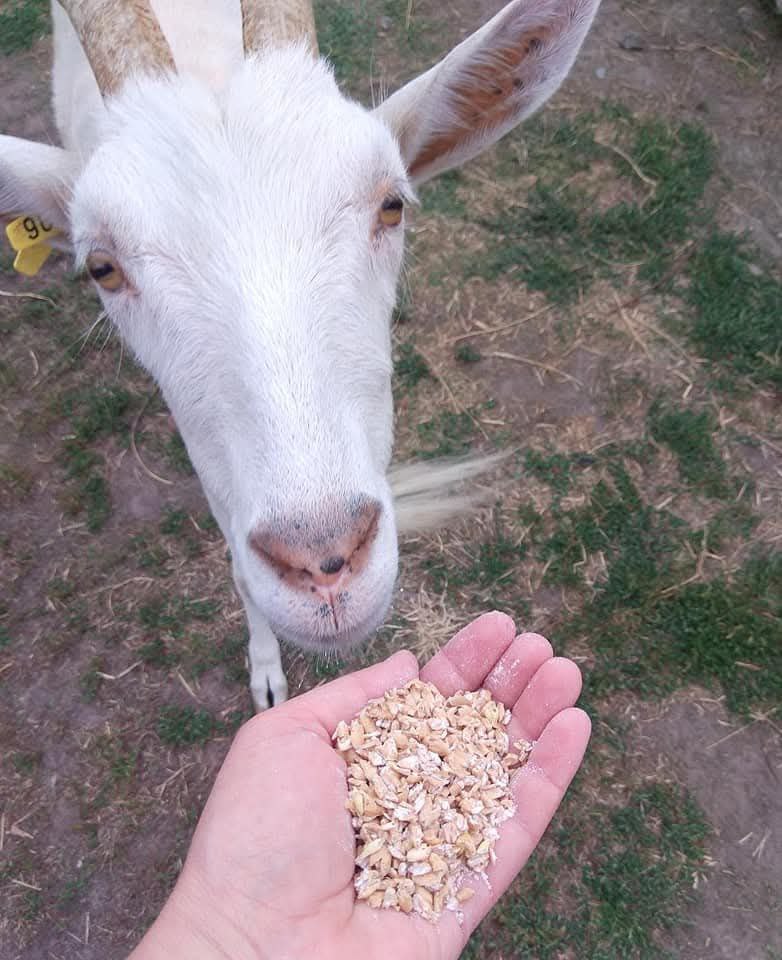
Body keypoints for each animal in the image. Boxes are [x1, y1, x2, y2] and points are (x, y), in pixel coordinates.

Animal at [1, 0, 601, 710]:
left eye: (392, 205)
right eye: (102, 267)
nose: (324, 562)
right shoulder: (213, 463)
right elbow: (238, 567)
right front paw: (266, 677)